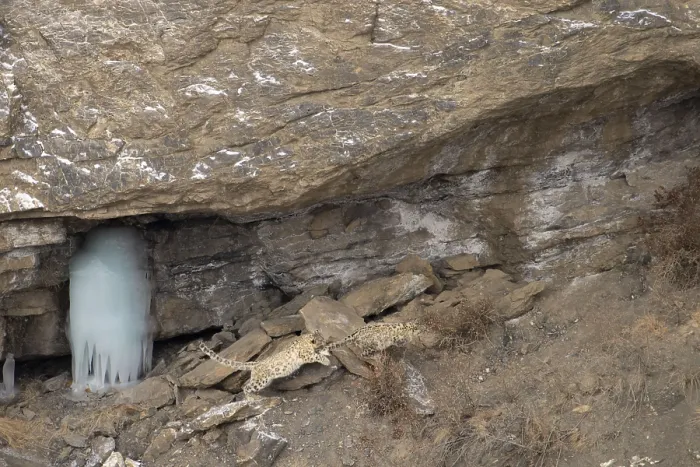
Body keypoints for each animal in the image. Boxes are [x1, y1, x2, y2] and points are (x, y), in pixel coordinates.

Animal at [198, 331, 331, 399]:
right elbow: (315, 355)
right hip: (260, 381)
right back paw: (251, 399)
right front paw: (326, 360)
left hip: (261, 380)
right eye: (321, 340)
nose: (325, 341)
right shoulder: (306, 355)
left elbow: (319, 352)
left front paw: (327, 352)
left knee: (245, 384)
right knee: (246, 387)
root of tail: (255, 363)